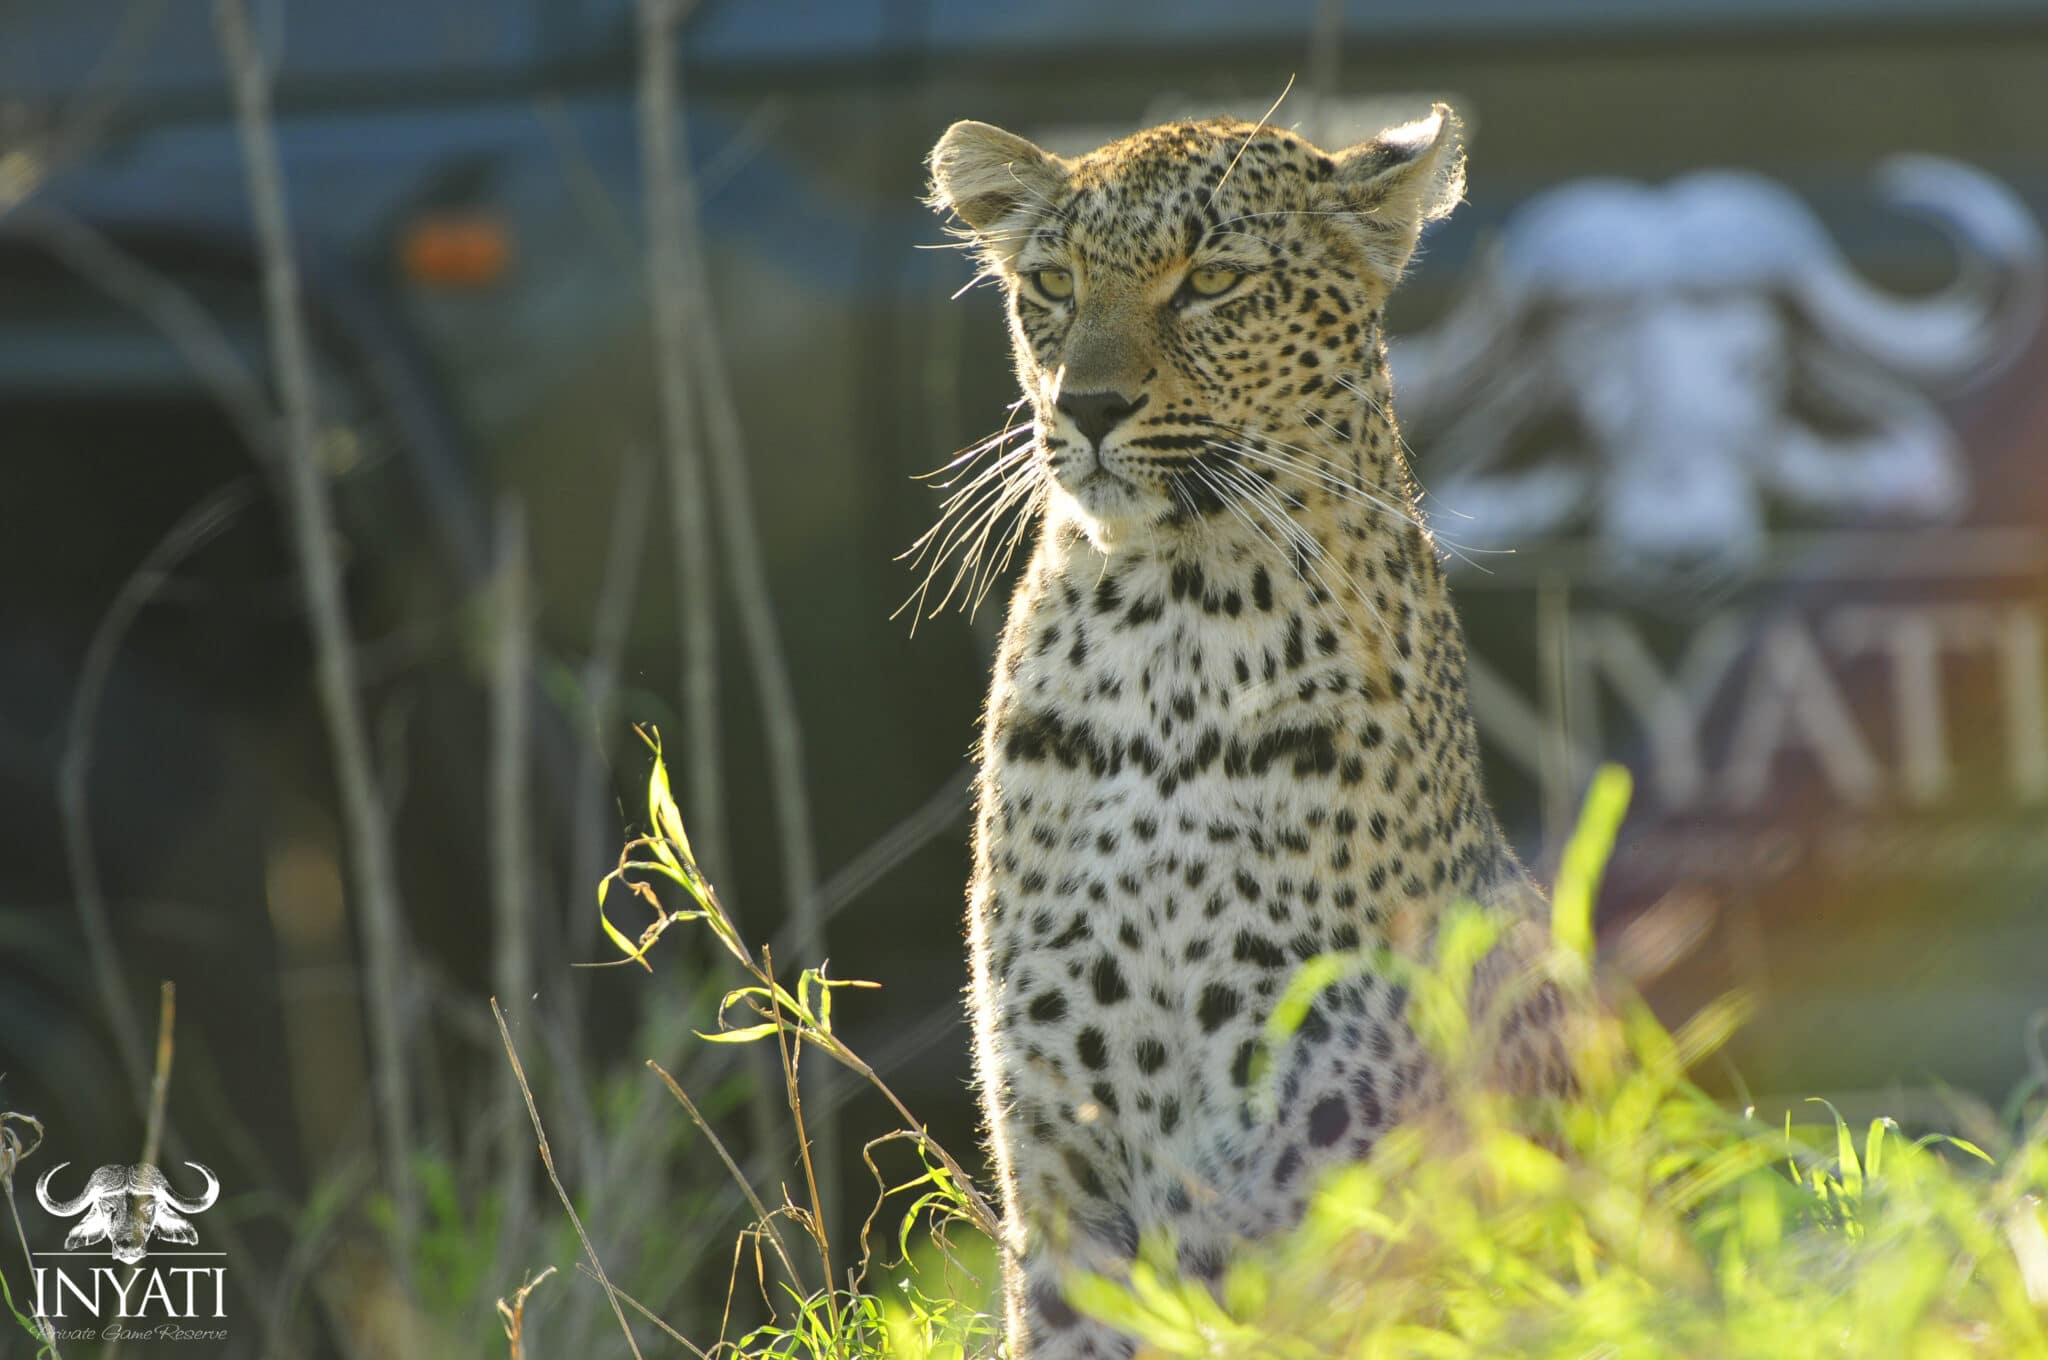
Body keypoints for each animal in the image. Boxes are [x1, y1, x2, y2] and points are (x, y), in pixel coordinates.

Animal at [923, 103, 1570, 1358]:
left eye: (1211, 281)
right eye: (1053, 283)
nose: (1083, 406)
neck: (1169, 636)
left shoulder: (1318, 1146)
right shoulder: (1059, 1172)